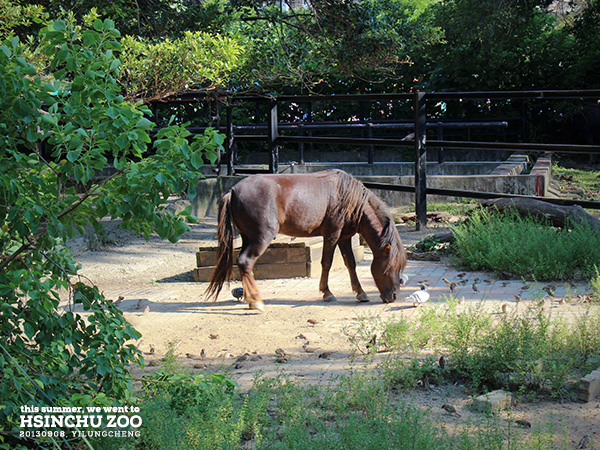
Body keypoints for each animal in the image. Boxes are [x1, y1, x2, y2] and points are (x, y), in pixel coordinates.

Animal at [206, 167, 408, 312]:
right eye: (389, 267)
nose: (394, 296)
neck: (347, 197)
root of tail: (233, 190)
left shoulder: (344, 237)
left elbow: (350, 263)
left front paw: (361, 292)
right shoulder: (332, 234)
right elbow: (326, 262)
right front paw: (327, 293)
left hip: (247, 237)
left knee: (244, 265)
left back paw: (250, 298)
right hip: (260, 238)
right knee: (245, 262)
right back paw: (256, 301)